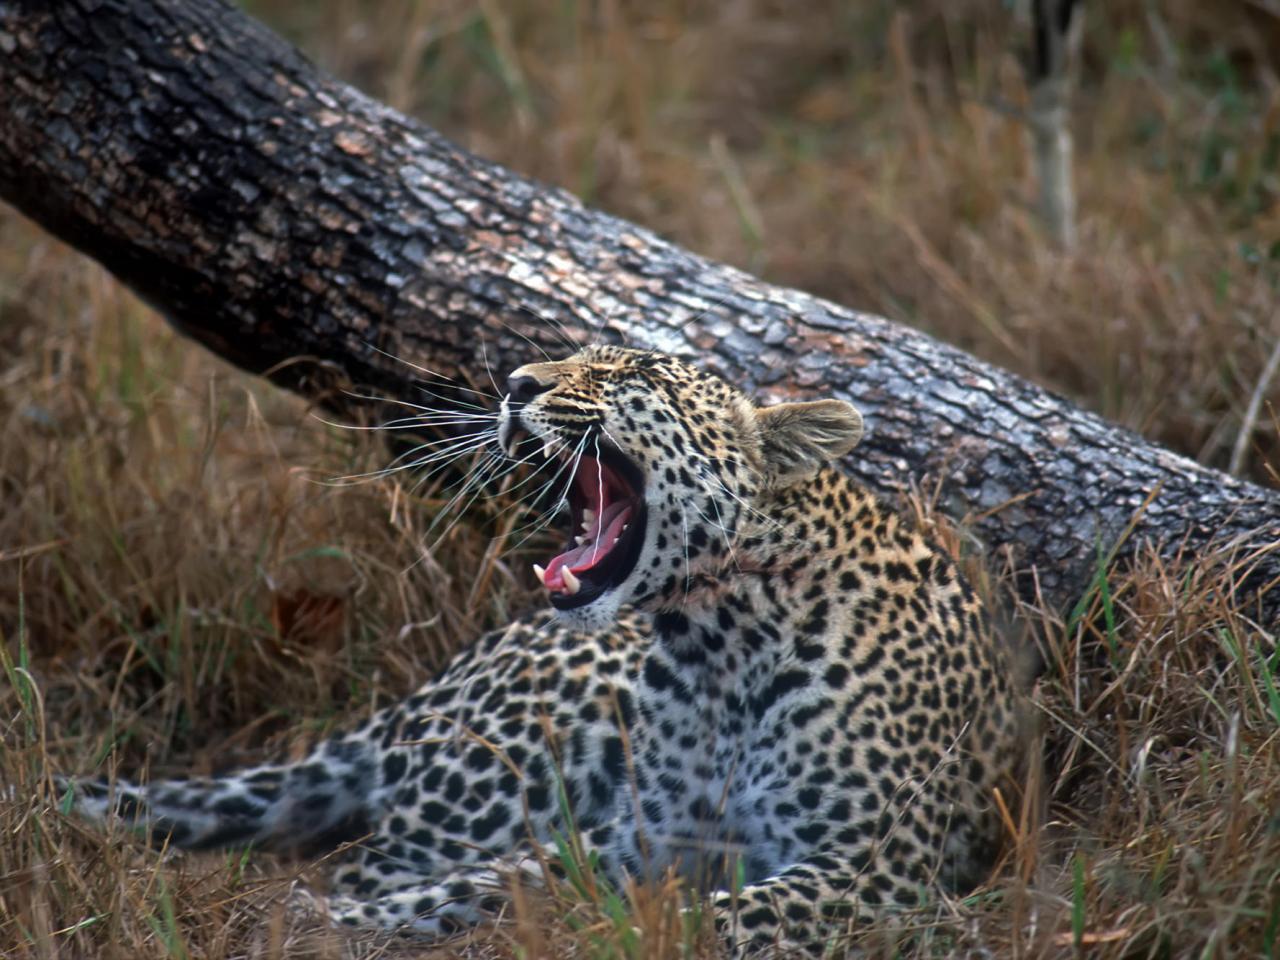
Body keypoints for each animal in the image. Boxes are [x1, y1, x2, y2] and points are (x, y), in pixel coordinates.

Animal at [72, 345, 1029, 957]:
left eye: (633, 373)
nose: (513, 383)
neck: (720, 645)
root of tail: (431, 686)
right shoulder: (646, 833)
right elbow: (505, 877)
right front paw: (333, 922)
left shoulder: (876, 868)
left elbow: (712, 920)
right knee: (382, 856)